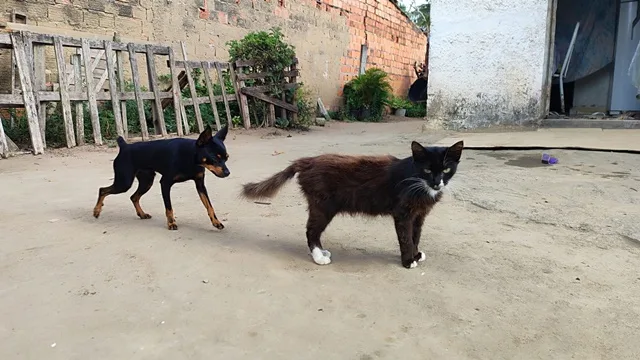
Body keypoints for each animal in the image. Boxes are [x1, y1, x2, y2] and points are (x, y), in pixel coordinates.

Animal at [94, 125, 231, 229]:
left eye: (226, 158)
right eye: (214, 158)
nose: (227, 173)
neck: (190, 156)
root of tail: (125, 146)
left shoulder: (200, 185)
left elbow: (209, 206)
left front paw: (216, 222)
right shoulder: (165, 183)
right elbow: (169, 207)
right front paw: (171, 223)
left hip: (146, 181)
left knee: (133, 197)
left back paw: (142, 214)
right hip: (124, 183)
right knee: (102, 190)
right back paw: (96, 211)